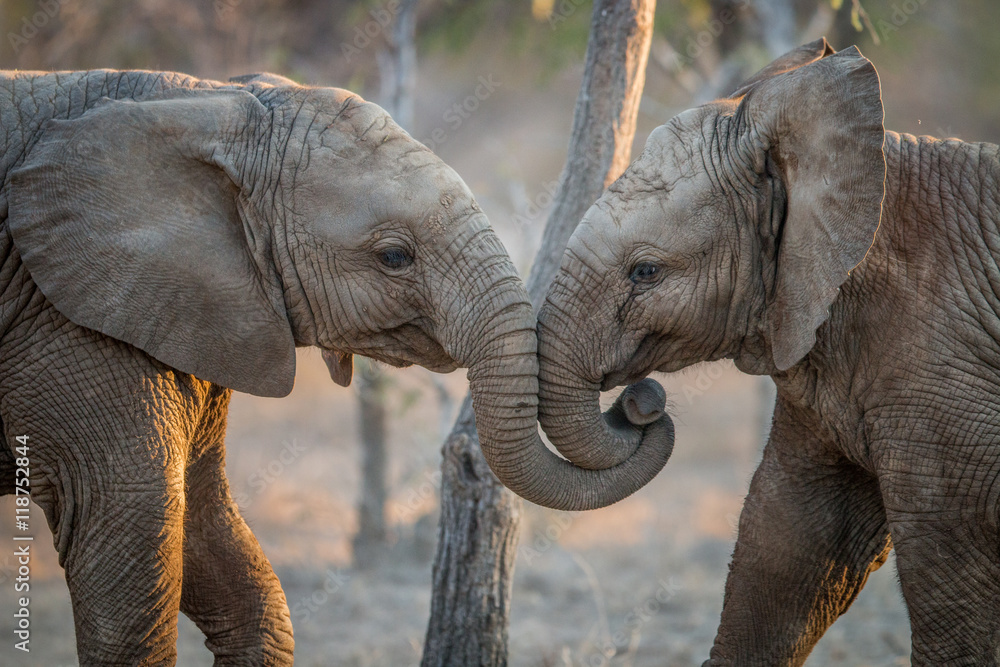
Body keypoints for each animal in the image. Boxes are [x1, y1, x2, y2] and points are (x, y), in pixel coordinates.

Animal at [0, 69, 671, 665]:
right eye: (394, 256)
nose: (641, 400)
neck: (204, 101)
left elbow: (216, 542)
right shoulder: (68, 325)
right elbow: (137, 542)